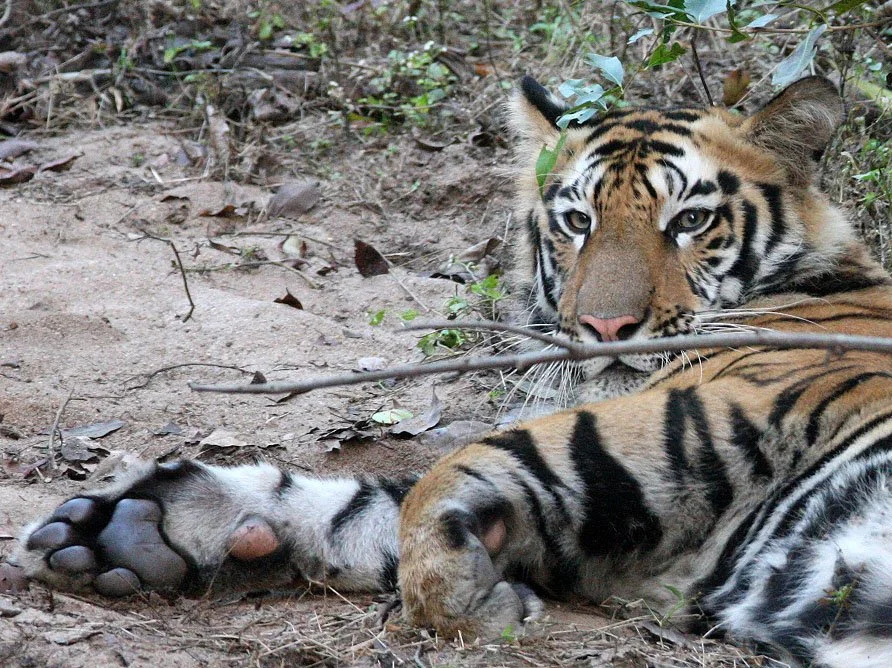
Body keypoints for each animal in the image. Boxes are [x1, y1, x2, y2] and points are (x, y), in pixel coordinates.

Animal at [9, 75, 892, 668]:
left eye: (692, 220)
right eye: (578, 221)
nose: (606, 328)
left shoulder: (719, 402)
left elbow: (450, 471)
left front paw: (464, 606)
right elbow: (372, 503)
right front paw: (133, 529)